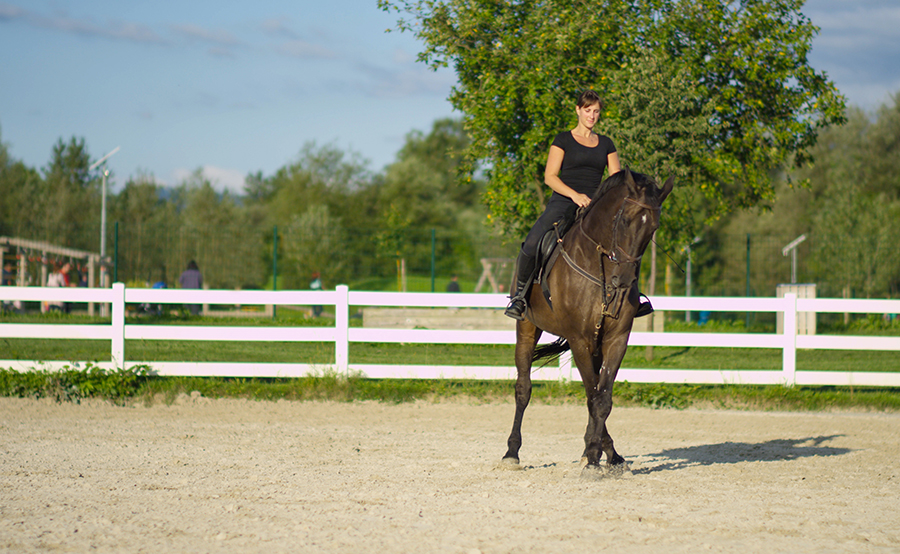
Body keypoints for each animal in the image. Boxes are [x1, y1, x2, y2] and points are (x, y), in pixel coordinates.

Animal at [501, 169, 674, 477]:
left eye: (653, 228)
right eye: (625, 220)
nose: (623, 280)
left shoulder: (616, 339)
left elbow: (601, 399)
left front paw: (606, 456)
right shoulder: (579, 339)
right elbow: (593, 395)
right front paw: (595, 457)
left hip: (595, 345)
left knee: (590, 393)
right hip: (528, 328)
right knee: (523, 389)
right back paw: (512, 453)